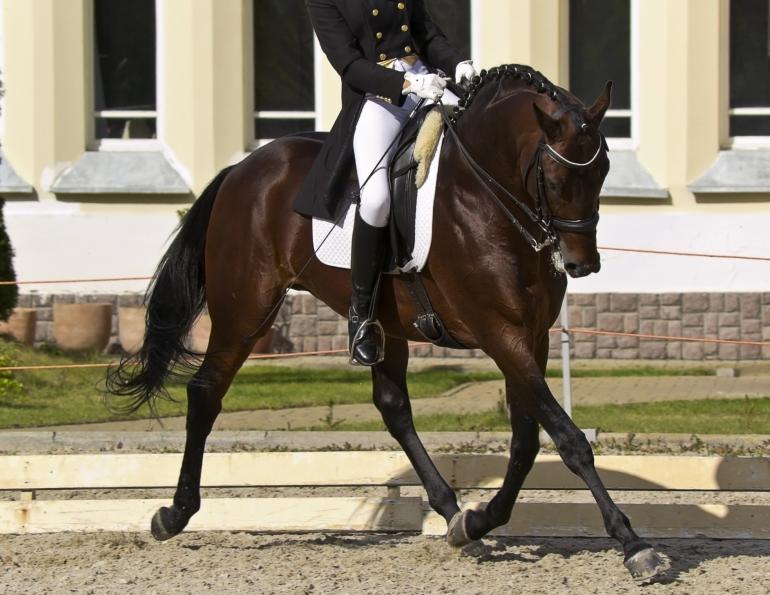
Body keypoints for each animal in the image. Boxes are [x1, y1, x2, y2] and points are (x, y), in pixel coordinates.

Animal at [107, 64, 666, 583]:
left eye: (604, 170)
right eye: (553, 178)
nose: (581, 263)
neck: (487, 196)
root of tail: (242, 169)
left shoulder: (534, 337)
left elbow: (527, 441)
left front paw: (479, 520)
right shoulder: (499, 333)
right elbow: (568, 438)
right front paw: (633, 544)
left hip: (384, 325)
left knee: (393, 407)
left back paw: (451, 511)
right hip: (244, 310)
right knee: (205, 392)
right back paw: (174, 514)